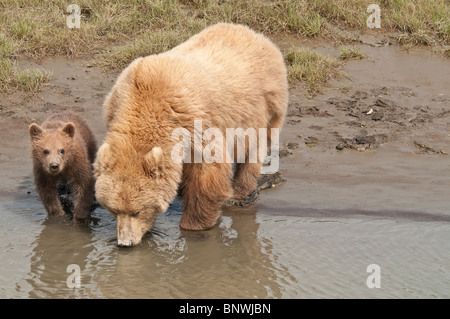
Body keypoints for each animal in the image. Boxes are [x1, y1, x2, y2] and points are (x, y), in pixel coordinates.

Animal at [94, 23, 288, 248]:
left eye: (137, 211)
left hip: (262, 107)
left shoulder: (194, 122)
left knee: (253, 148)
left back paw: (240, 192)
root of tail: (255, 34)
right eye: (113, 209)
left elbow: (207, 171)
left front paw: (194, 223)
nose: (125, 243)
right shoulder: (115, 106)